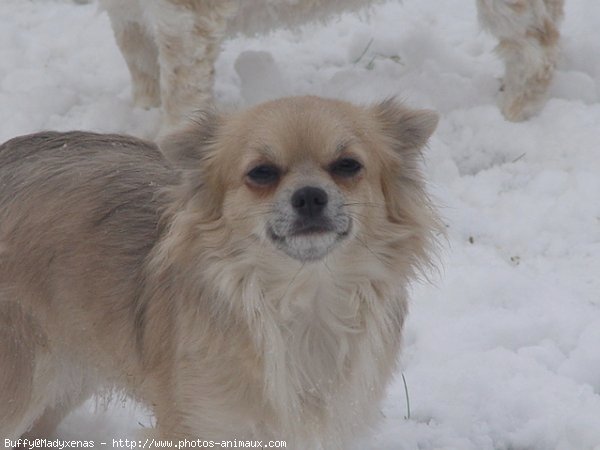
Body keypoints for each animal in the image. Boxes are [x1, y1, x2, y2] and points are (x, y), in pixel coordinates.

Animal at [0, 96, 440, 446]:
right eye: (261, 172)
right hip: (20, 385)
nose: (310, 196)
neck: (303, 299)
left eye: (348, 165)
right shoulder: (202, 426)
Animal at [101, 0, 564, 128]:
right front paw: (140, 115)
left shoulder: (185, 18)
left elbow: (181, 98)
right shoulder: (130, 16)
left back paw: (514, 113)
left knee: (536, 45)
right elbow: (141, 67)